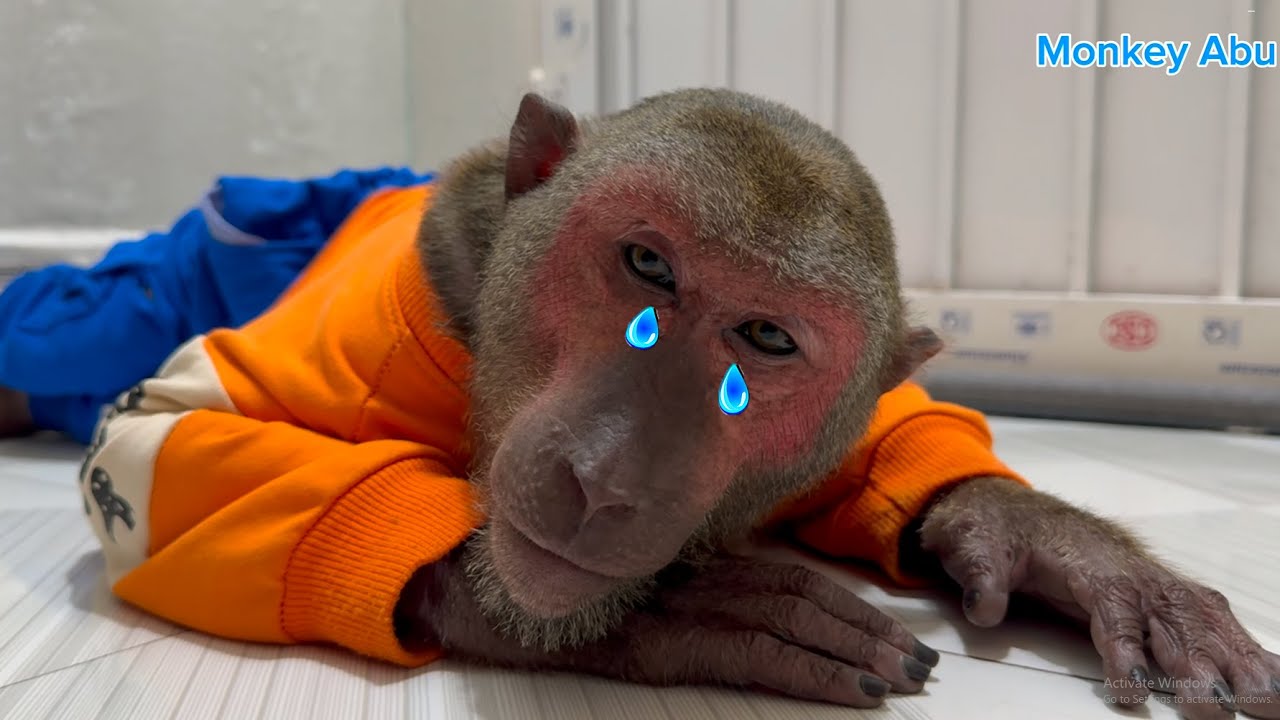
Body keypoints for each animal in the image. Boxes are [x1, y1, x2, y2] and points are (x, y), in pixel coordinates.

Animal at [67, 89, 1279, 718]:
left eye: (766, 340)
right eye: (646, 266)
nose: (608, 477)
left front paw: (1048, 542)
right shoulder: (376, 329)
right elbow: (155, 433)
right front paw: (684, 614)